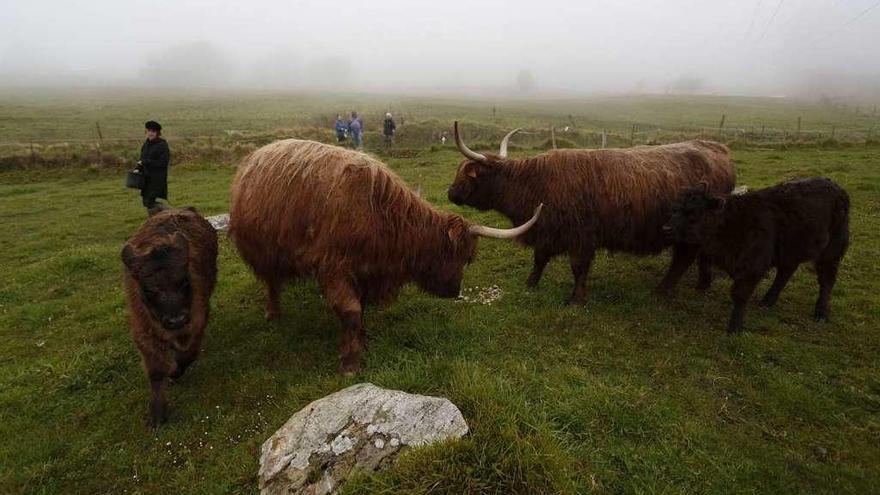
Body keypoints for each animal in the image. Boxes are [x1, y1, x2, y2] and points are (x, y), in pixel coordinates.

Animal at [122, 207, 218, 428]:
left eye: (184, 282)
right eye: (149, 290)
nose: (177, 320)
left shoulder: (197, 322)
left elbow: (187, 355)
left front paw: (174, 372)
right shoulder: (143, 333)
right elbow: (156, 372)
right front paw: (157, 415)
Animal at [230, 138, 540, 374]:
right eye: (463, 258)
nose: (455, 290)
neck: (382, 219)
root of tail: (257, 154)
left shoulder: (368, 270)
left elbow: (361, 309)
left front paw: (362, 340)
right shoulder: (333, 267)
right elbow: (351, 310)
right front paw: (350, 362)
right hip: (263, 248)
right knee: (270, 280)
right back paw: (273, 312)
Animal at [446, 122, 736, 304]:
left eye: (466, 174)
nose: (450, 193)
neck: (535, 183)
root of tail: (717, 148)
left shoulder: (580, 237)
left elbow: (578, 267)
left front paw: (576, 299)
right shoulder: (547, 230)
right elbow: (539, 259)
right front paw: (530, 283)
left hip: (689, 230)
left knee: (683, 259)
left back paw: (661, 290)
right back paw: (702, 285)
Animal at [672, 178, 848, 334]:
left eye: (693, 213)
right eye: (676, 209)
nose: (668, 228)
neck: (733, 221)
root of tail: (837, 188)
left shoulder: (752, 266)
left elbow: (740, 294)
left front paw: (734, 328)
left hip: (831, 252)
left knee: (826, 280)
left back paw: (821, 313)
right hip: (791, 250)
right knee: (786, 272)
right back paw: (767, 301)